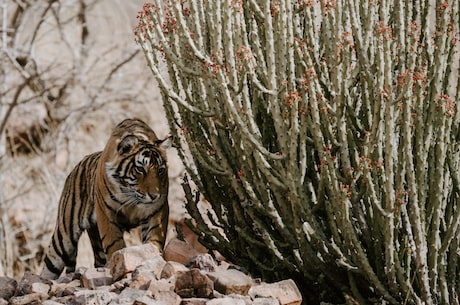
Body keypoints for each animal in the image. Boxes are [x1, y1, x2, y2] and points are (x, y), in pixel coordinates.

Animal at [40, 117, 171, 280]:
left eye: (160, 170)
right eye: (140, 169)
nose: (154, 196)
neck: (131, 196)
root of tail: (73, 169)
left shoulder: (158, 211)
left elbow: (154, 241)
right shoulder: (106, 213)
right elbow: (115, 244)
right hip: (64, 237)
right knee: (49, 266)